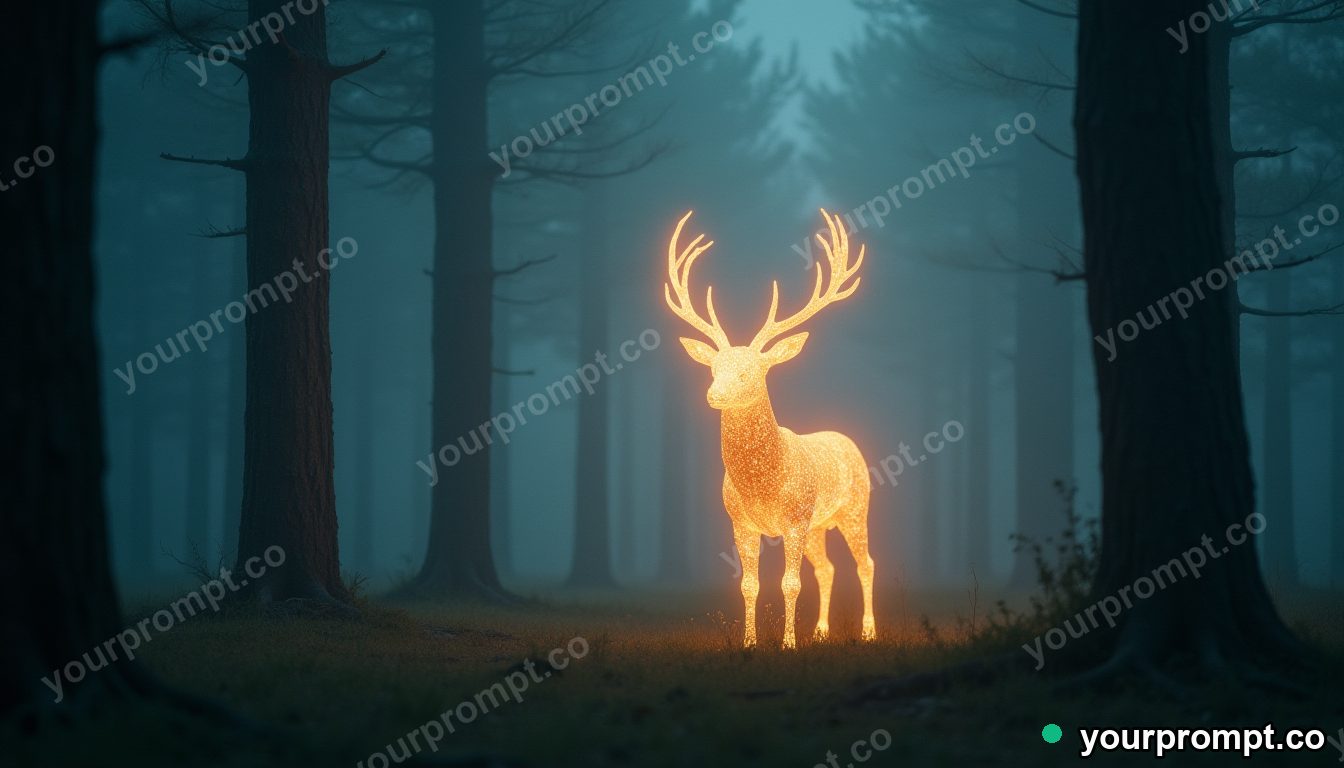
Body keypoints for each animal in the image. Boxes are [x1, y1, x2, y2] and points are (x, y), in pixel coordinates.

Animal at [664, 209, 874, 649]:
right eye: (713, 368)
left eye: (749, 372)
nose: (713, 394)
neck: (763, 484)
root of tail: (848, 439)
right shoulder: (740, 522)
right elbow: (749, 585)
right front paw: (750, 642)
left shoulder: (794, 518)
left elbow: (790, 583)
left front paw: (788, 643)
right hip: (818, 525)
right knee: (828, 568)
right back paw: (822, 632)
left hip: (855, 508)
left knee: (866, 563)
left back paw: (868, 631)